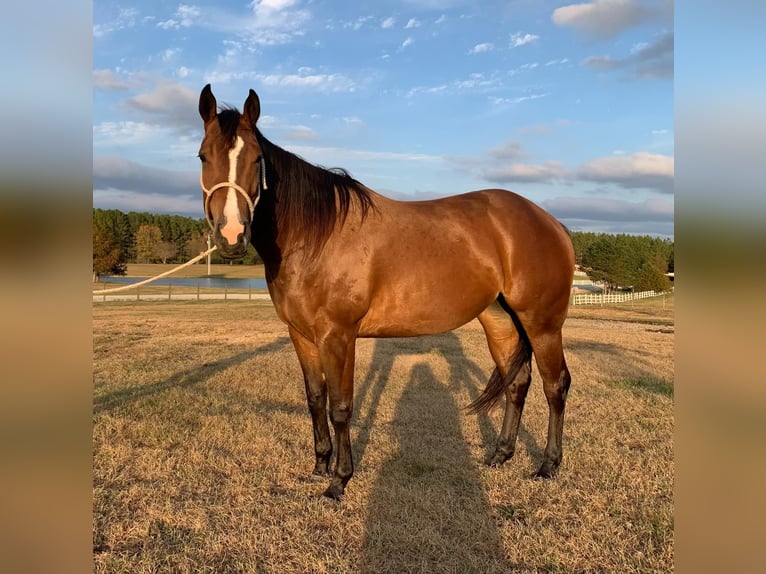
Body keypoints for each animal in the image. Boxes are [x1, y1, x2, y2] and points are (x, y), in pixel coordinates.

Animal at [198, 84, 576, 500]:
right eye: (203, 156)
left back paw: (547, 465)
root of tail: (550, 222)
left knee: (555, 385)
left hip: (542, 324)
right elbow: (315, 399)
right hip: (500, 320)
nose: (232, 236)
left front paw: (339, 481)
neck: (316, 234)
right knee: (517, 382)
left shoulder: (338, 335)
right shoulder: (301, 335)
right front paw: (319, 467)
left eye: (256, 159)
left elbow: (341, 406)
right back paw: (500, 455)